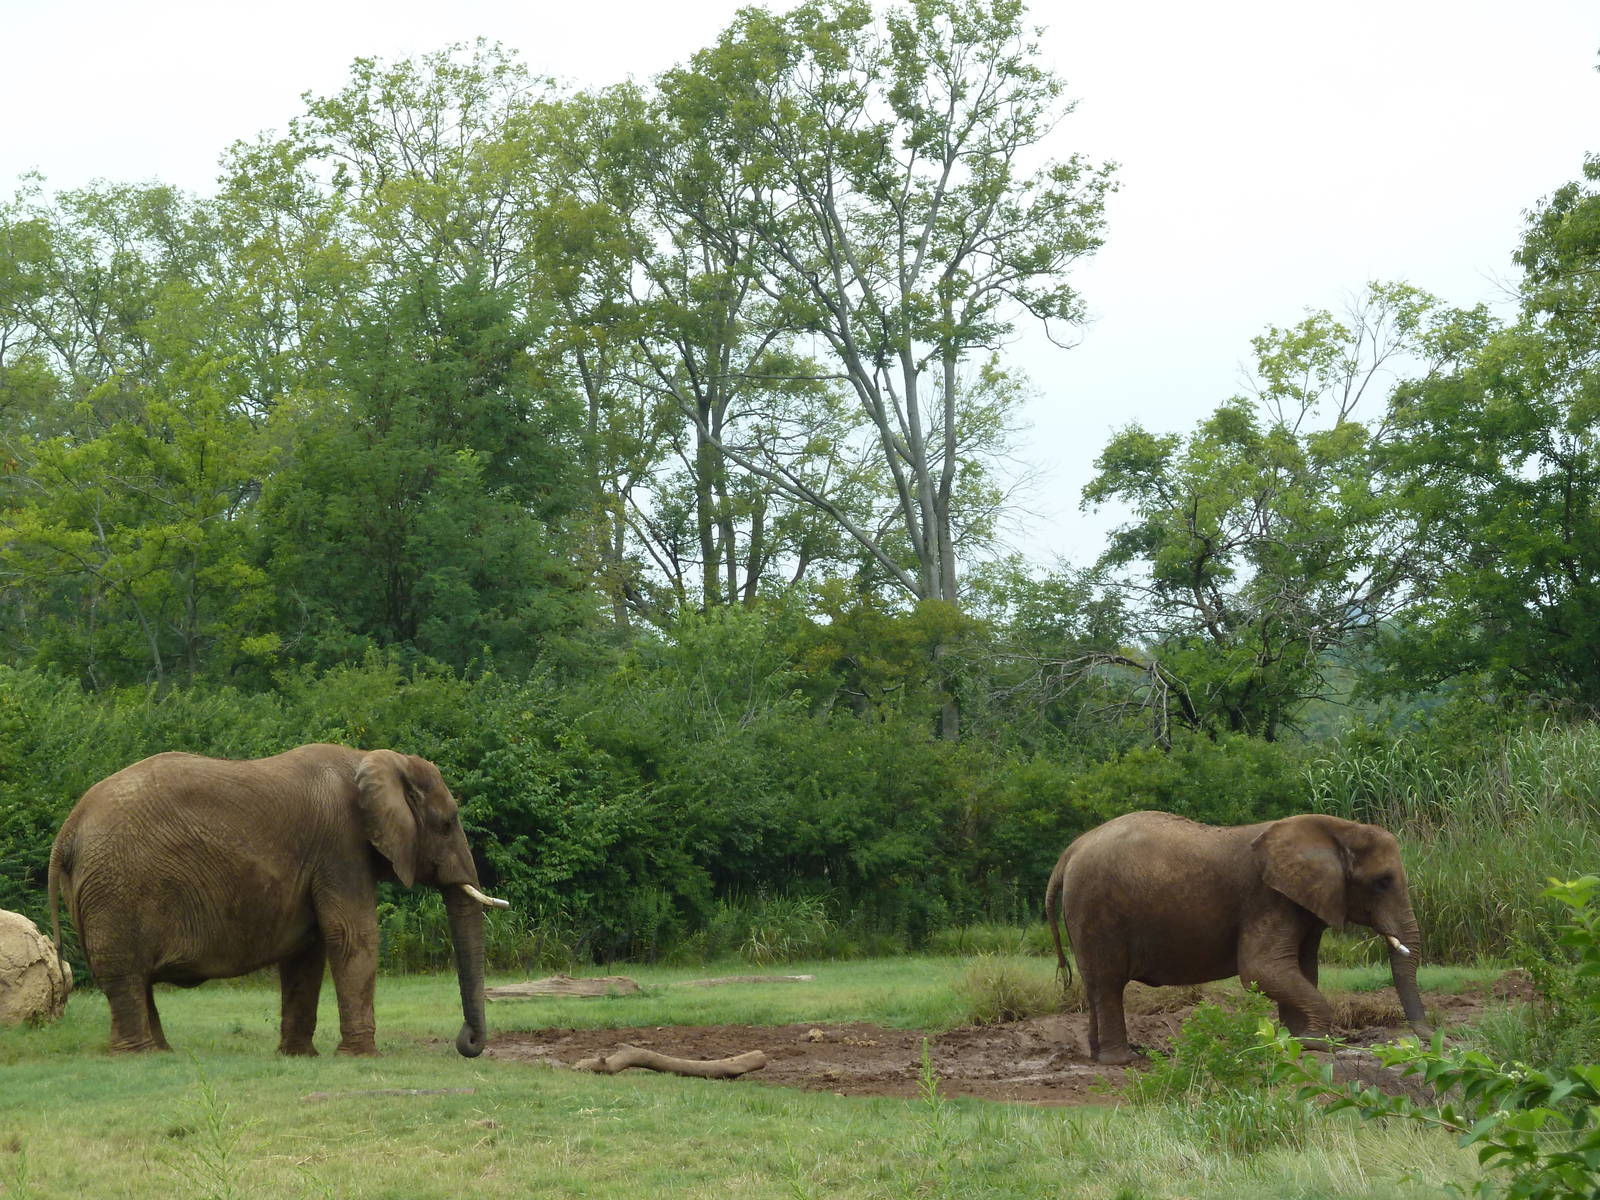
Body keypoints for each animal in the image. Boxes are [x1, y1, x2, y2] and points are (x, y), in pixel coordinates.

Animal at [47, 743, 508, 1057]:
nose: (466, 1042)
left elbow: (308, 951)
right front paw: (362, 1057)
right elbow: (351, 935)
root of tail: (67, 830)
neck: (371, 759)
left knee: (136, 979)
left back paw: (162, 1052)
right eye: (447, 823)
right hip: (116, 888)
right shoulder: (340, 846)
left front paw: (300, 1056)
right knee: (125, 975)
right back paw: (142, 1055)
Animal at [1044, 810, 1432, 1065]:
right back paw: (1123, 1061)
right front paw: (1318, 1045)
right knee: (1108, 983)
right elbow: (1261, 969)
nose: (1428, 1041)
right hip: (1097, 908)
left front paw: (1294, 1042)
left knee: (1096, 985)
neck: (1336, 830)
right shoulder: (1268, 899)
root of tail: (1069, 853)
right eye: (1382, 881)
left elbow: (1302, 970)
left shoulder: (1303, 904)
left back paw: (1102, 1056)